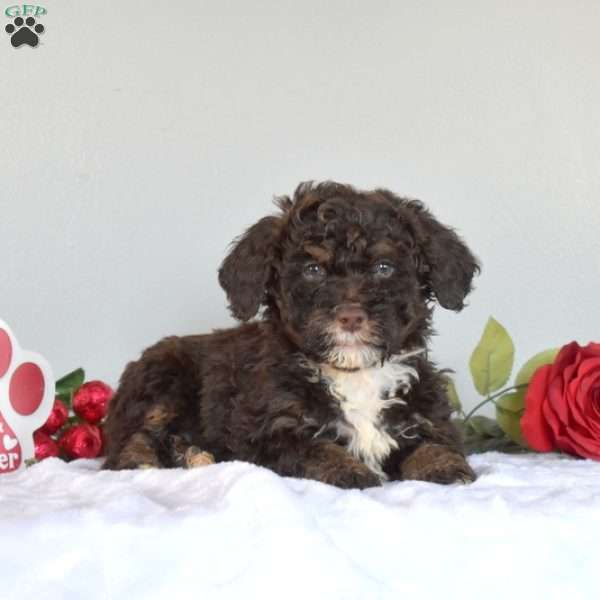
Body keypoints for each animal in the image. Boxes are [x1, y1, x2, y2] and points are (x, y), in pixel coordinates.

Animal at [102, 179, 478, 488]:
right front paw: (347, 470)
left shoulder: (425, 413)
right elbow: (315, 449)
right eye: (312, 270)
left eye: (383, 268)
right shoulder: (268, 431)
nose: (351, 316)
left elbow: (433, 442)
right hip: (161, 378)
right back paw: (146, 461)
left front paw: (445, 466)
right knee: (131, 438)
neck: (354, 373)